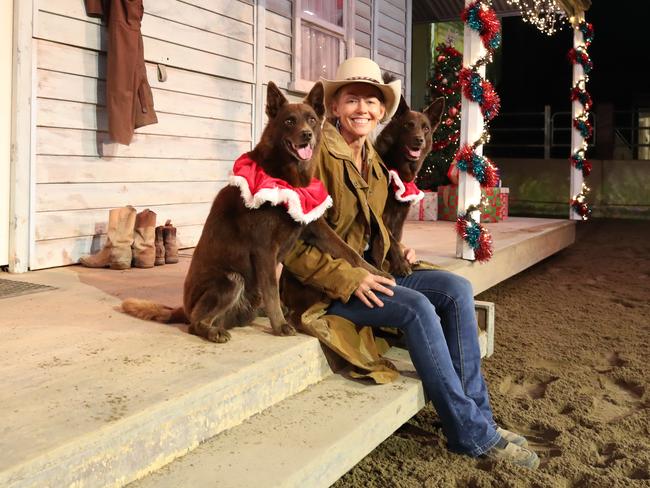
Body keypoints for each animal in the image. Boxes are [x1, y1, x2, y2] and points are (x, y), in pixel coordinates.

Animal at [123, 82, 380, 344]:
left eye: (311, 120)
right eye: (289, 121)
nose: (307, 134)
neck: (286, 176)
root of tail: (184, 309)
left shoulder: (314, 227)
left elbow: (347, 251)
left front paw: (376, 273)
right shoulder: (264, 248)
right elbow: (272, 290)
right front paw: (280, 325)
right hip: (231, 281)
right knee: (197, 322)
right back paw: (214, 331)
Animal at [370, 82, 446, 276]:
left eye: (426, 128)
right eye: (408, 125)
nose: (419, 140)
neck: (398, 168)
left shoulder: (400, 220)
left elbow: (395, 240)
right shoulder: (381, 217)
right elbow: (392, 242)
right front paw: (401, 265)